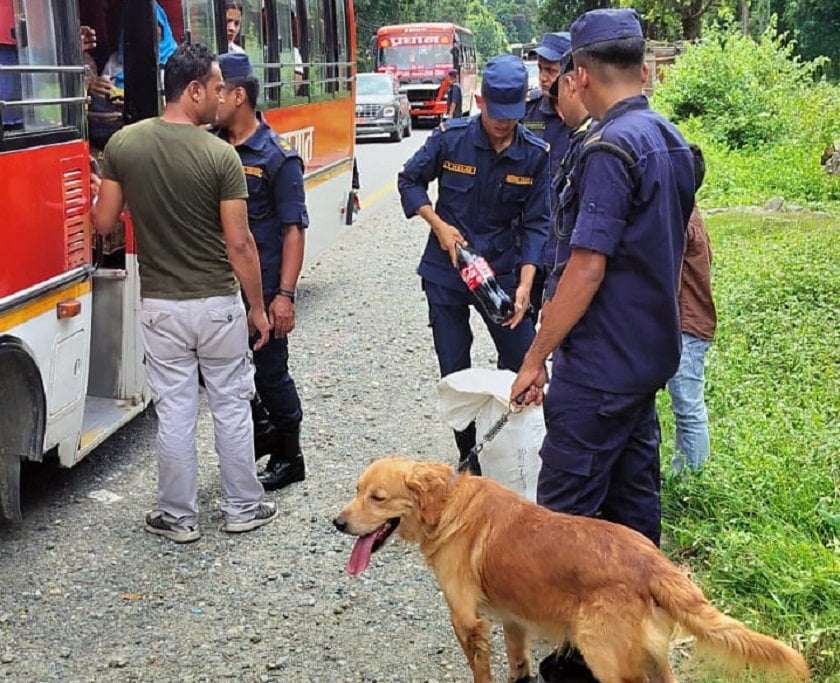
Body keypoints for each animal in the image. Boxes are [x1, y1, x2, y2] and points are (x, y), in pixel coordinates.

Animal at [334, 454, 808, 683]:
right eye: (356, 490)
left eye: (377, 497)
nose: (337, 522)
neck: (449, 505)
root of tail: (653, 561)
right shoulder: (512, 617)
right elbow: (518, 660)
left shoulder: (466, 619)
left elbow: (480, 670)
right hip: (652, 657)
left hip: (606, 658)